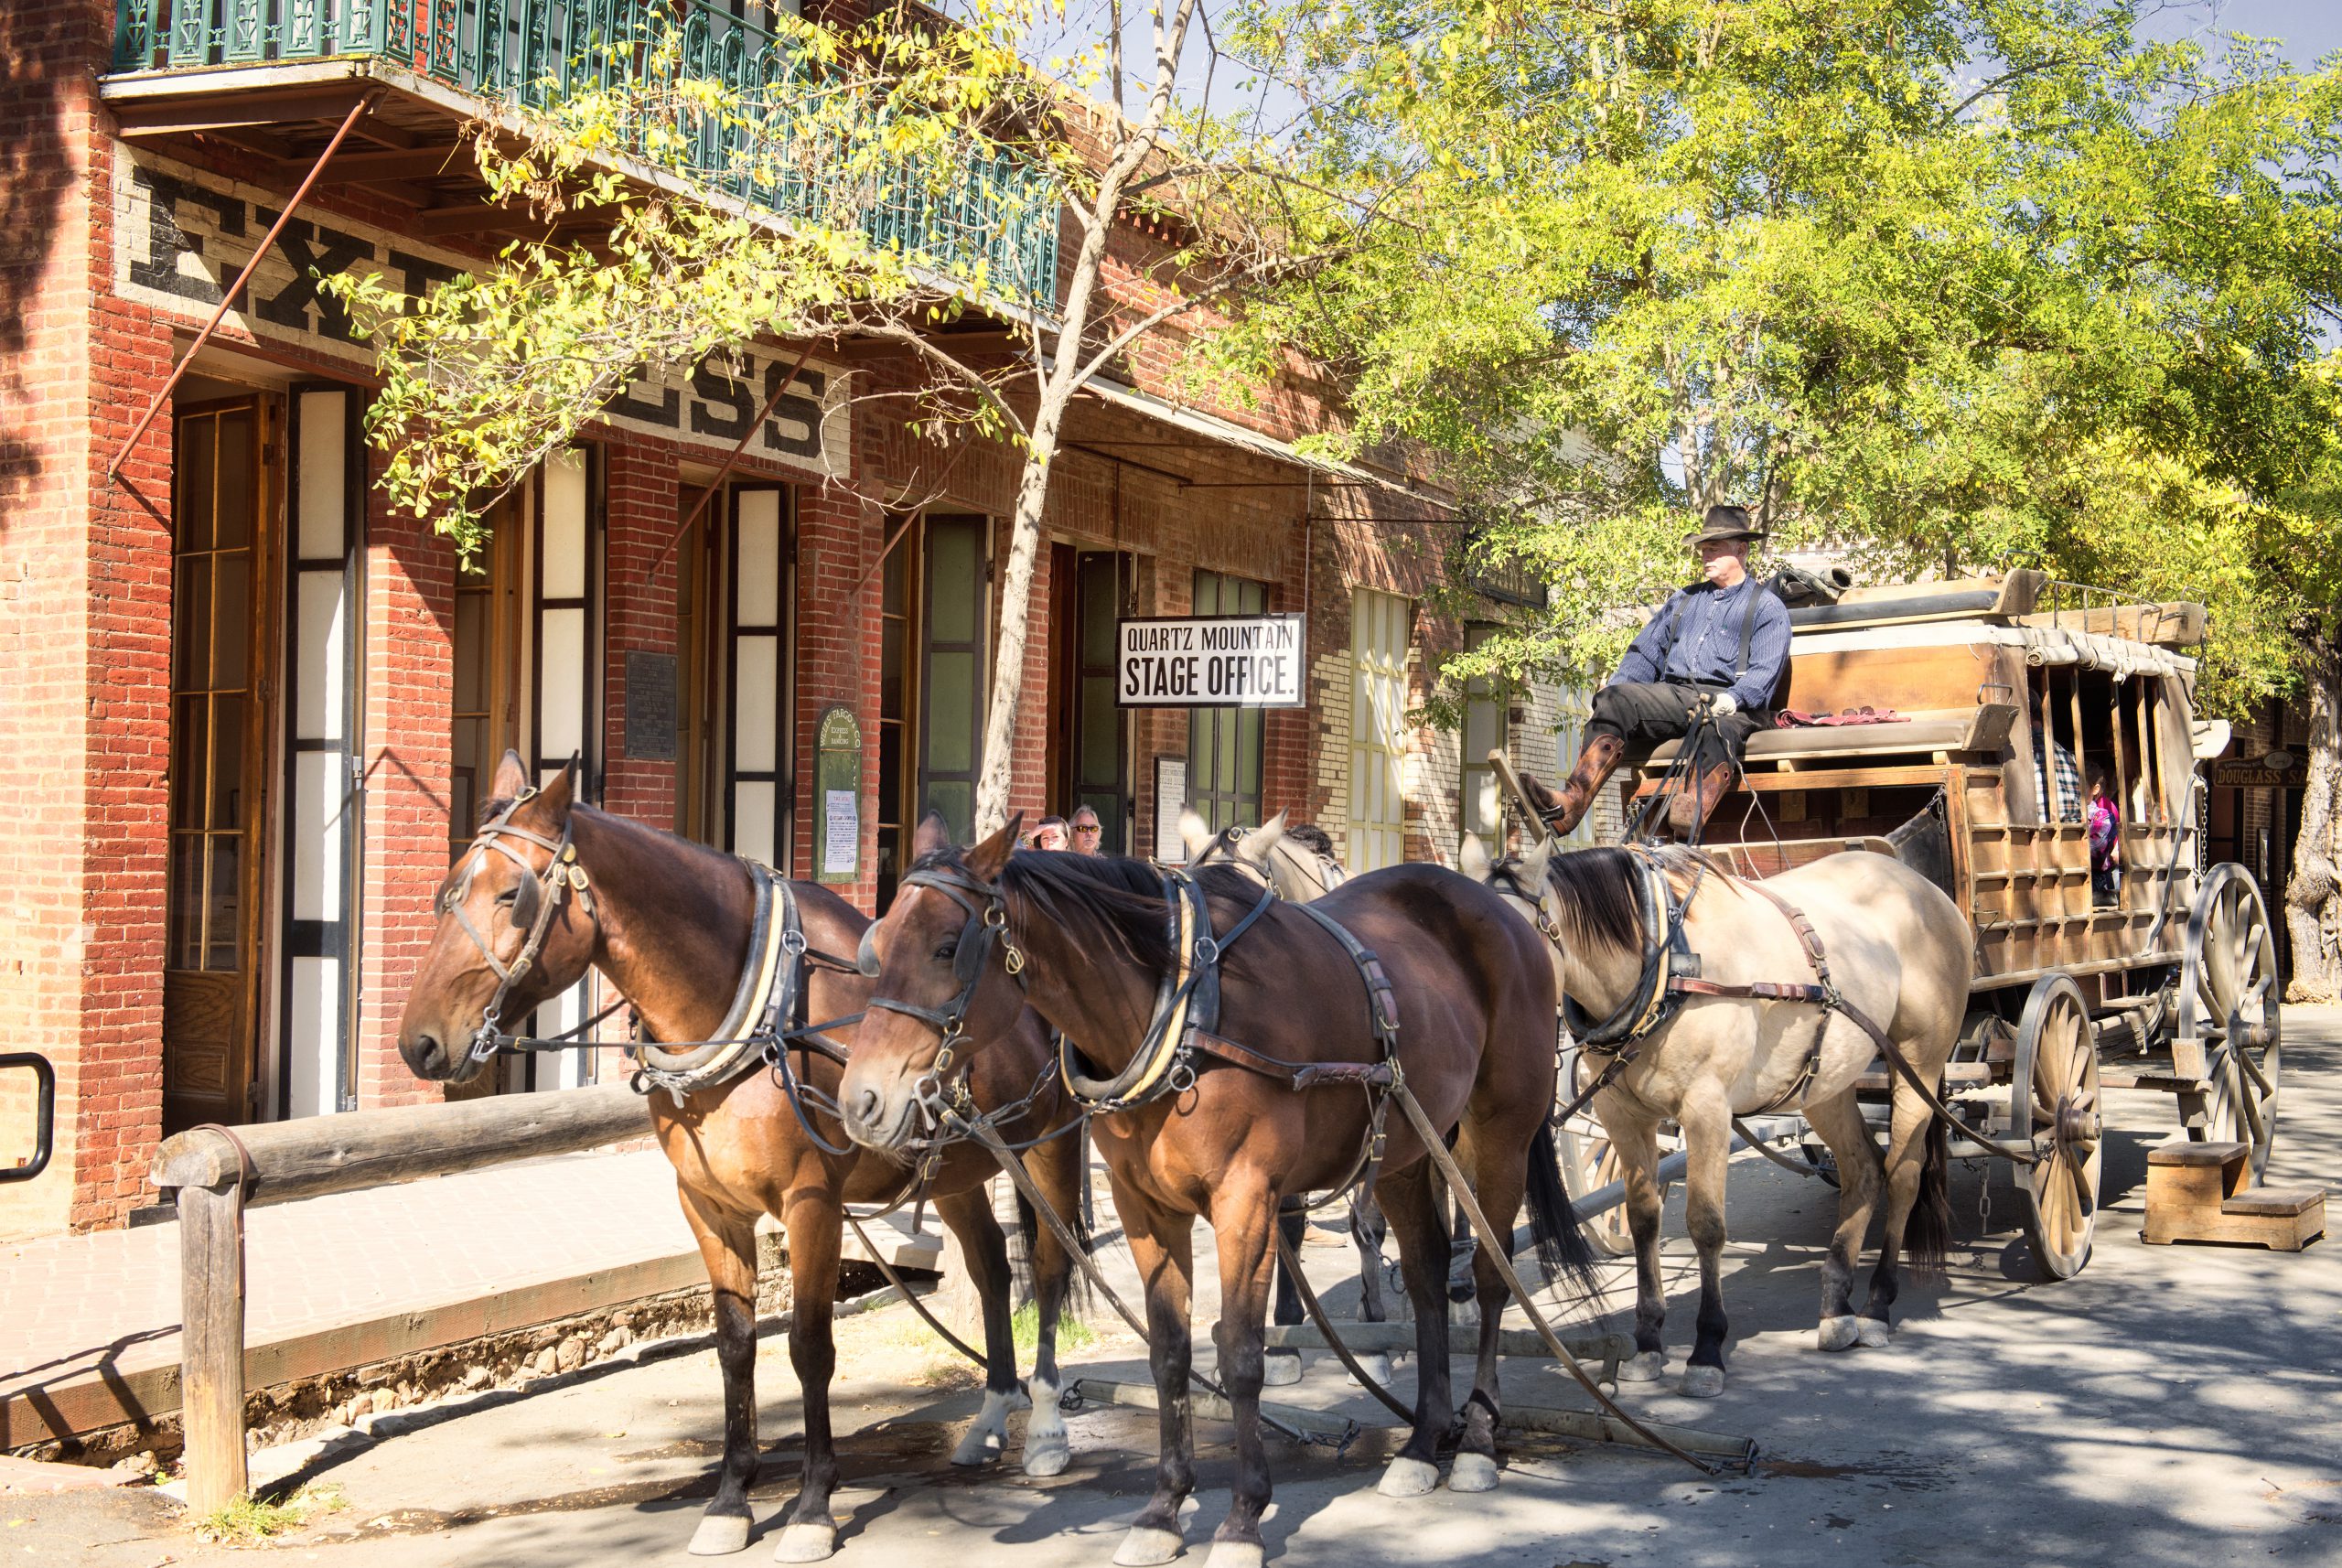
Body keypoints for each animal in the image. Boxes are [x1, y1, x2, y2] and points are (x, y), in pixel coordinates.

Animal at [398, 753, 1090, 1563]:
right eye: (449, 887)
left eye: (513, 895)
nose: (419, 1043)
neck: (752, 1009)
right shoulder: (707, 1205)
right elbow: (734, 1346)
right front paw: (731, 1499)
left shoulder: (812, 1204)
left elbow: (810, 1346)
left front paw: (814, 1506)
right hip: (953, 1167)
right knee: (987, 1267)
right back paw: (988, 1418)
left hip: (1048, 1147)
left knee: (1049, 1267)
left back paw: (1045, 1430)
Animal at [833, 819, 1583, 1568]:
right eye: (876, 946)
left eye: (946, 947)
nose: (860, 1101)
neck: (1182, 1005)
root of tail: (1499, 911)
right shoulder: (1144, 1208)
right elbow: (1170, 1355)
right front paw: (1163, 1510)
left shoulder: (1245, 1200)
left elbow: (1241, 1356)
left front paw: (1243, 1518)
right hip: (1402, 1147)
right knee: (1426, 1277)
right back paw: (1424, 1445)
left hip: (1497, 1135)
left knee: (1489, 1275)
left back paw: (1476, 1442)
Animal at [1461, 832, 1976, 1403]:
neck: (1667, 962)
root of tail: (1923, 887)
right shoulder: (1621, 1116)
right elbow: (1643, 1219)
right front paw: (1648, 1343)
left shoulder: (1707, 1109)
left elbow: (1706, 1226)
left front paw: (1707, 1350)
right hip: (1828, 1081)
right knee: (1863, 1169)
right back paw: (1836, 1309)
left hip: (1919, 1063)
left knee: (1903, 1175)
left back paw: (1877, 1307)